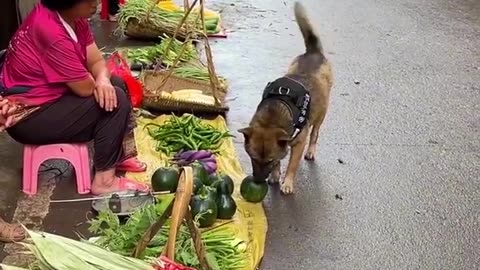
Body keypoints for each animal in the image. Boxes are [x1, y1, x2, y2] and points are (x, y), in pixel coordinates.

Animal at [238, 2, 332, 196]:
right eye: (253, 158)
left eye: (268, 160)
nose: (258, 181)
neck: (273, 116)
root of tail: (313, 52)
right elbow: (281, 161)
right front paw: (275, 175)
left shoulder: (297, 144)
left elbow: (292, 165)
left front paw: (287, 182)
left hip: (321, 114)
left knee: (315, 133)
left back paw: (311, 150)